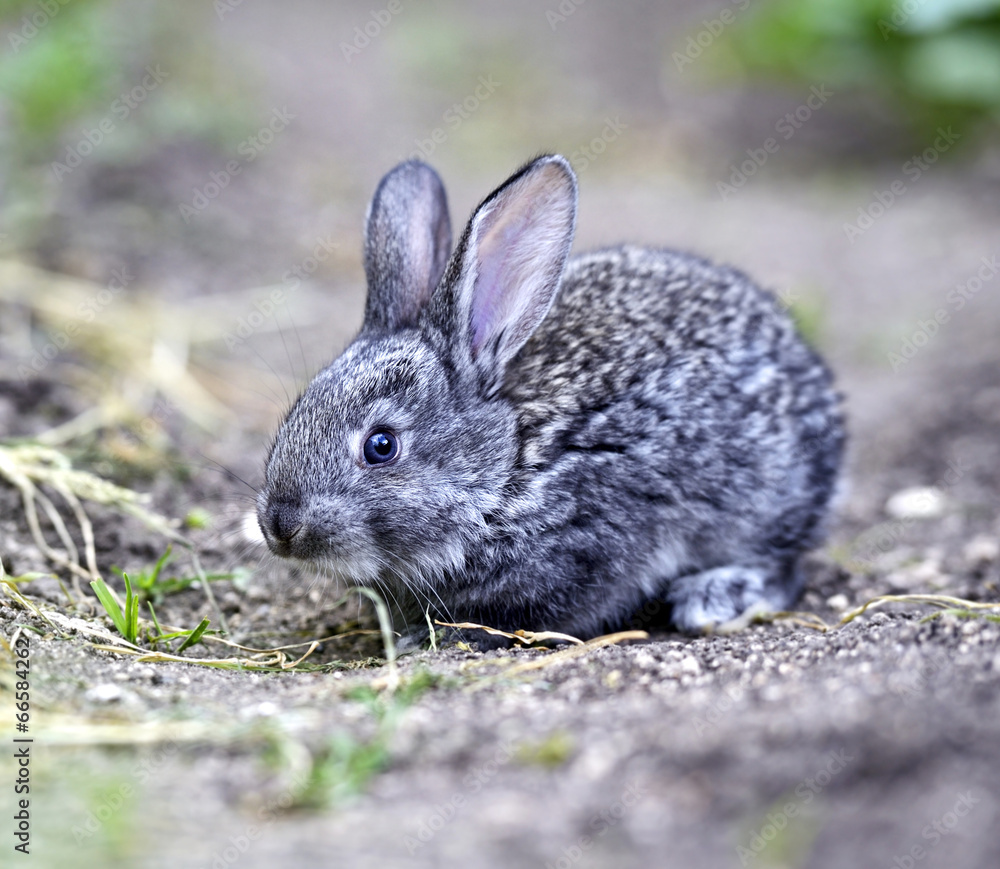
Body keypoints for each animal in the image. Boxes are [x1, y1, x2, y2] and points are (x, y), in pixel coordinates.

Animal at [257, 154, 845, 644]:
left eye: (381, 446)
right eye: (295, 415)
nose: (279, 527)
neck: (508, 466)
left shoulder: (594, 540)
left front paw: (426, 636)